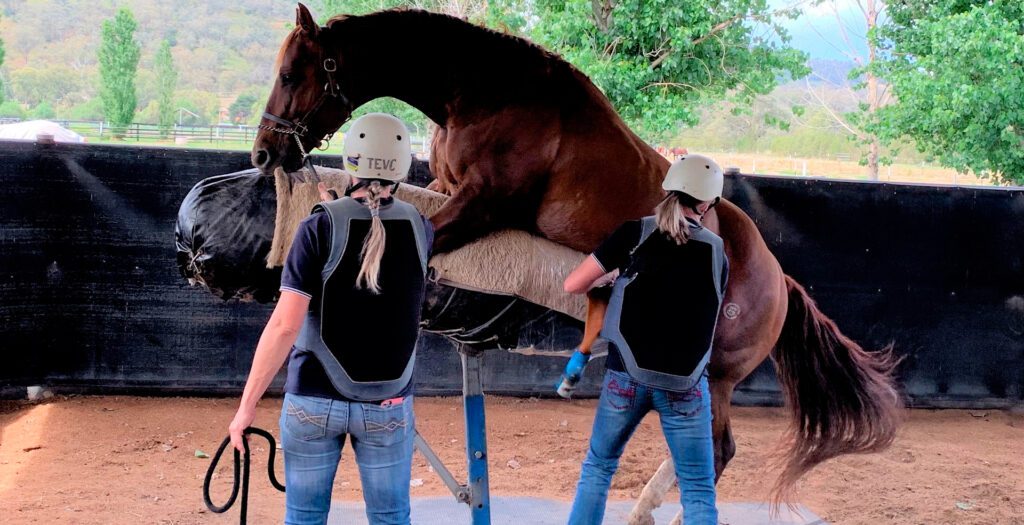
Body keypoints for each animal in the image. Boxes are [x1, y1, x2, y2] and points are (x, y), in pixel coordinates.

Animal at [252, 4, 902, 502]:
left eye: (289, 72)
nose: (262, 152)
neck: (487, 93)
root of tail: (778, 281)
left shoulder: (479, 205)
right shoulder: (442, 186)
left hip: (710, 378)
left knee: (713, 453)